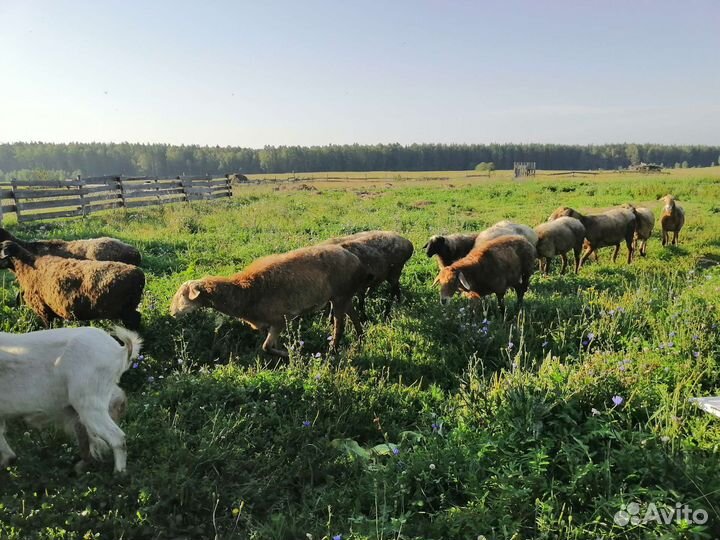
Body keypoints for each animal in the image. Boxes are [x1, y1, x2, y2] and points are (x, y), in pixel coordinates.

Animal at [169, 244, 372, 357]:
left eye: (182, 295)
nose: (171, 313)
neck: (244, 293)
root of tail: (356, 260)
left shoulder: (279, 320)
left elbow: (266, 347)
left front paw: (290, 354)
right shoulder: (269, 324)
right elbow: (271, 345)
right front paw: (286, 351)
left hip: (339, 296)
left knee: (340, 325)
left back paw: (333, 350)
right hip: (343, 296)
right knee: (353, 314)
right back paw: (360, 337)